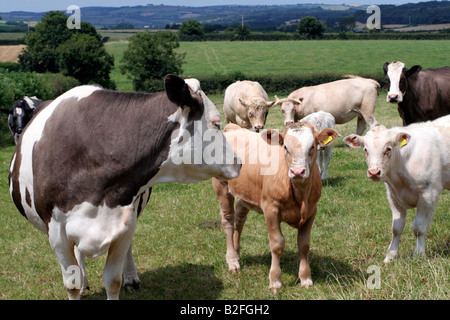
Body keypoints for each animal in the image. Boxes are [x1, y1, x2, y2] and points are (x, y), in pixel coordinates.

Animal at [7, 75, 243, 300]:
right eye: (216, 123)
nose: (239, 162)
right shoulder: (56, 231)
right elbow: (71, 284)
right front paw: (78, 286)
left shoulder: (123, 222)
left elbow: (112, 280)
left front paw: (123, 279)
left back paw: (131, 278)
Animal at [214, 121, 338, 292]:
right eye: (285, 146)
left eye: (313, 146)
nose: (297, 171)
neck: (300, 194)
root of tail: (234, 129)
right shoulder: (270, 209)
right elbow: (277, 244)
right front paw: (275, 280)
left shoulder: (312, 211)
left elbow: (304, 245)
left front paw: (305, 278)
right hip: (222, 186)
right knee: (228, 222)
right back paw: (232, 261)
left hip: (245, 194)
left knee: (239, 219)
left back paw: (237, 252)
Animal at [344, 115, 450, 262]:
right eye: (365, 149)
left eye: (388, 149)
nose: (374, 172)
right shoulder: (393, 196)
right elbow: (396, 228)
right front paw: (390, 256)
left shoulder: (429, 194)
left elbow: (419, 227)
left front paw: (418, 254)